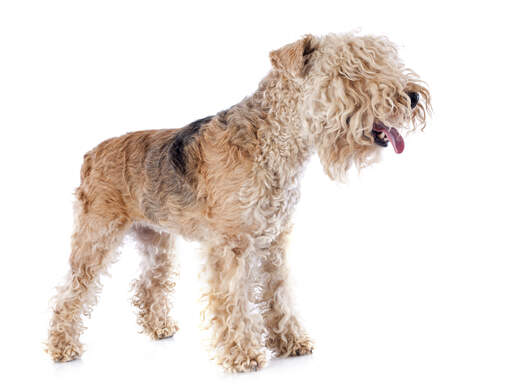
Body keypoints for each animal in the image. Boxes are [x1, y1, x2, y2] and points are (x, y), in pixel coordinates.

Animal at [47, 33, 432, 372]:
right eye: (350, 71)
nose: (413, 95)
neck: (274, 143)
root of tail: (90, 154)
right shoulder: (231, 245)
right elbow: (234, 301)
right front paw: (243, 355)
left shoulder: (274, 242)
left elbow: (279, 295)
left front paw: (291, 342)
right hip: (96, 237)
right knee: (70, 292)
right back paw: (62, 347)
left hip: (155, 240)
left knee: (148, 286)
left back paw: (160, 329)